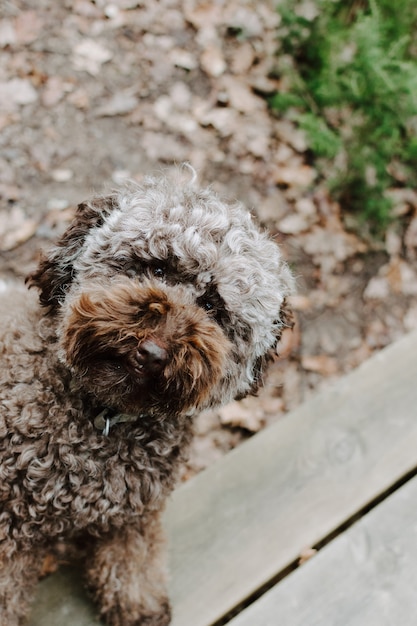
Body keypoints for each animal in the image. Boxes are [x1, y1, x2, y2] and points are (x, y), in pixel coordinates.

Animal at [0, 167, 292, 624]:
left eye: (213, 306)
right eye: (156, 265)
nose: (153, 353)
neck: (104, 417)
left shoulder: (133, 518)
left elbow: (132, 563)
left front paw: (139, 605)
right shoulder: (9, 526)